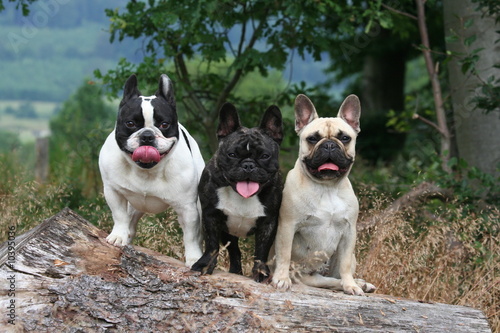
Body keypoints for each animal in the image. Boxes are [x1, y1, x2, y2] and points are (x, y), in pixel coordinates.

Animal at [98, 74, 204, 266]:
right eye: (130, 123)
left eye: (164, 124)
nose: (147, 135)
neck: (147, 171)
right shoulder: (113, 191)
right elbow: (119, 216)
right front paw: (118, 236)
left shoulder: (188, 208)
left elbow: (191, 236)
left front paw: (194, 258)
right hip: (133, 206)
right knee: (130, 221)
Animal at [190, 103, 284, 280]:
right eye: (232, 154)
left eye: (265, 156)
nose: (248, 165)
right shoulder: (211, 215)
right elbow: (212, 244)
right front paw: (204, 264)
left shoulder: (268, 223)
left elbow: (261, 251)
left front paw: (261, 272)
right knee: (234, 250)